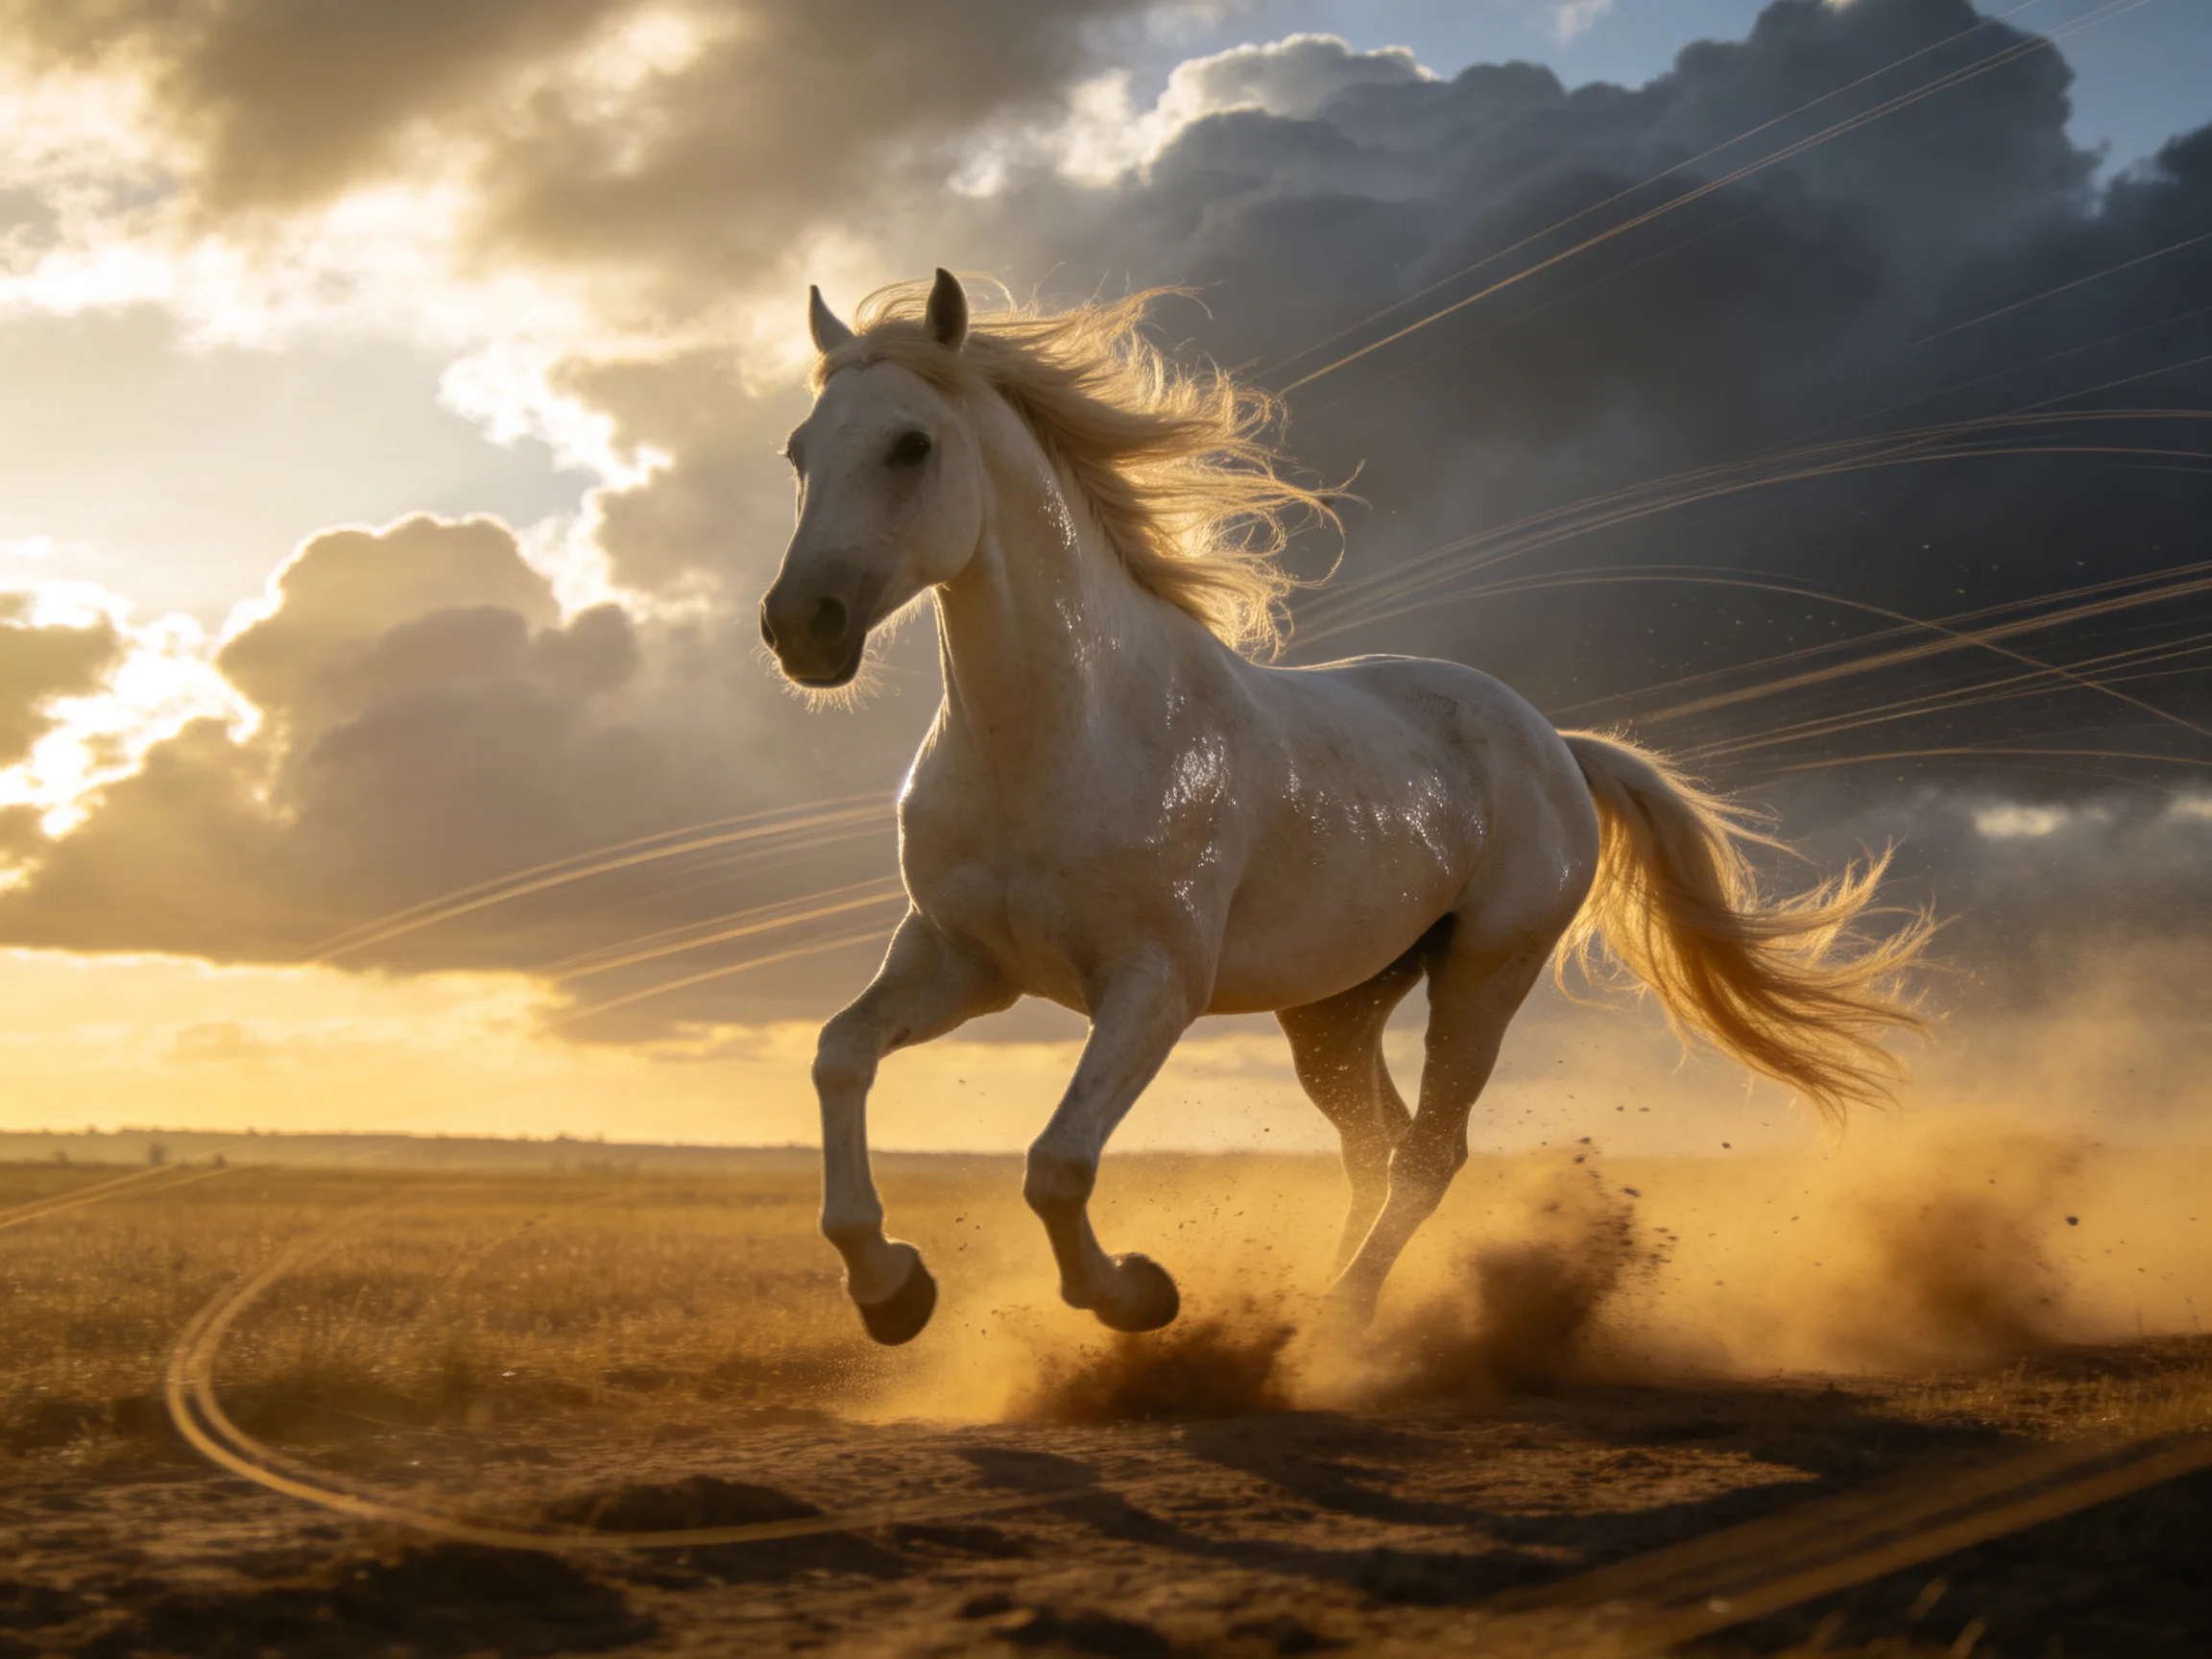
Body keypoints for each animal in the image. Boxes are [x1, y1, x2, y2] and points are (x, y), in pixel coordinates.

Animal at [758, 269, 1929, 1345]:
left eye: (911, 445)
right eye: (799, 452)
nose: (801, 626)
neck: (1064, 735)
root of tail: (1555, 742)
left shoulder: (1152, 987)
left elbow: (1056, 1164)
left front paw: (1137, 1293)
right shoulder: (964, 962)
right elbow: (838, 1056)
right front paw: (891, 1289)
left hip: (1484, 976)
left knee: (1429, 1151)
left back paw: (1340, 1317)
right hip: (1334, 1011)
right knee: (1377, 1146)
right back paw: (1307, 1312)